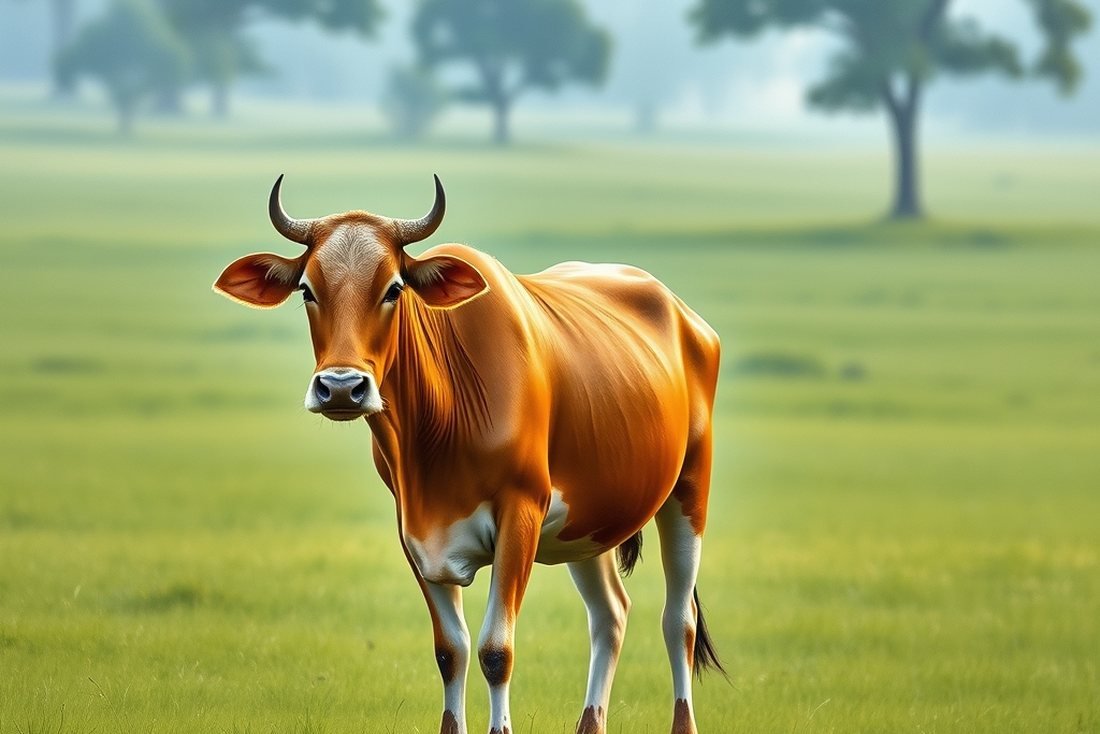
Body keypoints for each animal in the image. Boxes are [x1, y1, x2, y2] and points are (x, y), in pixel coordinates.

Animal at [213, 176, 724, 734]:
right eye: (307, 289)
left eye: (394, 288)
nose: (342, 388)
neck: (442, 424)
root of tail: (684, 313)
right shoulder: (415, 532)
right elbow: (450, 651)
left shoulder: (521, 515)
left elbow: (495, 651)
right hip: (589, 526)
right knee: (610, 615)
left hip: (689, 492)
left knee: (679, 620)